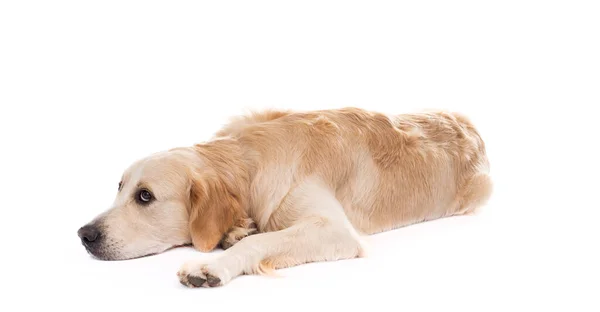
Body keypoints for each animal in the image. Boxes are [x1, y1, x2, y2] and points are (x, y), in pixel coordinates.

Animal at [77, 107, 494, 288]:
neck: (248, 159)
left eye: (145, 196)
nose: (84, 235)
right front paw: (236, 231)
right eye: (119, 188)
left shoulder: (333, 228)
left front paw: (212, 265)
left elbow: (262, 241)